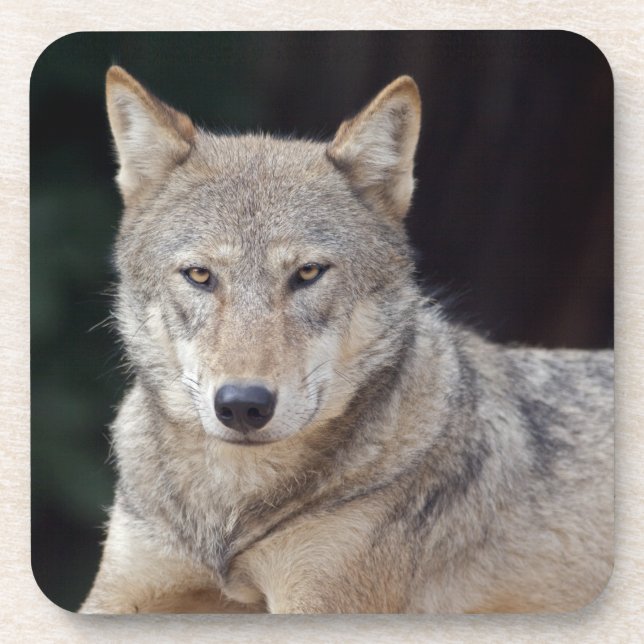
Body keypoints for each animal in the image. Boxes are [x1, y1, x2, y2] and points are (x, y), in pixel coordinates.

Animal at [80, 66, 613, 614]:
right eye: (200, 275)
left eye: (308, 273)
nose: (243, 405)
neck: (230, 517)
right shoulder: (119, 591)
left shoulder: (320, 602)